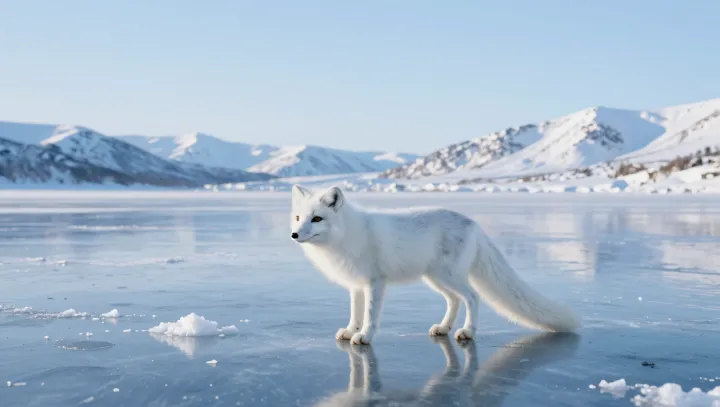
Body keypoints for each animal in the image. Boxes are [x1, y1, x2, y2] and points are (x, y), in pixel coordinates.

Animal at [290, 184, 580, 345]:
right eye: (298, 217)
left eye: (317, 219)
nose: (294, 235)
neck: (348, 235)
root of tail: (474, 224)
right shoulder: (356, 285)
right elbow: (355, 313)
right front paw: (351, 331)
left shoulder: (375, 282)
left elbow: (370, 316)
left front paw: (365, 337)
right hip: (435, 278)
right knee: (454, 300)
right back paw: (443, 328)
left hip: (448, 276)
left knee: (472, 297)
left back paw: (467, 331)